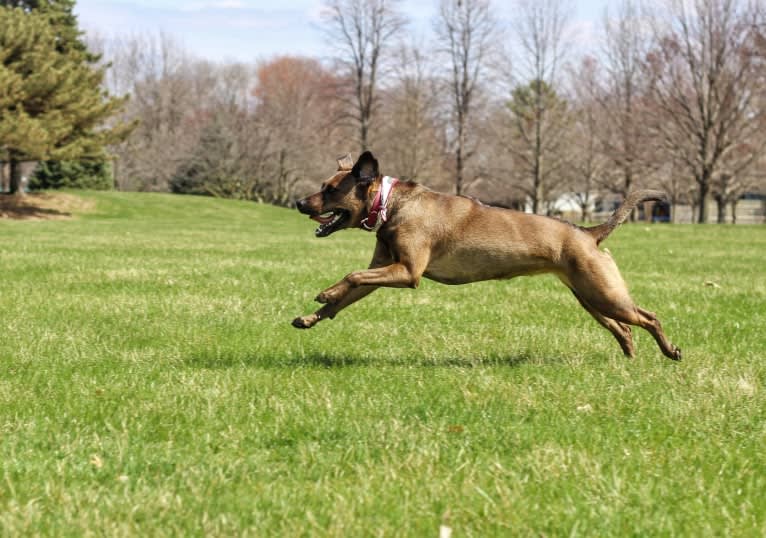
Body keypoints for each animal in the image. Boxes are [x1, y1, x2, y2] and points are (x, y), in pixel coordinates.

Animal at [294, 152, 684, 360]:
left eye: (330, 190)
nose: (298, 203)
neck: (392, 205)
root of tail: (589, 233)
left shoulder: (407, 272)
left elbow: (352, 276)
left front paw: (326, 292)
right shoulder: (385, 270)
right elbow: (348, 293)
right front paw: (311, 317)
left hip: (604, 294)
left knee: (648, 317)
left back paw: (670, 351)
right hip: (591, 297)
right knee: (624, 328)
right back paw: (629, 358)